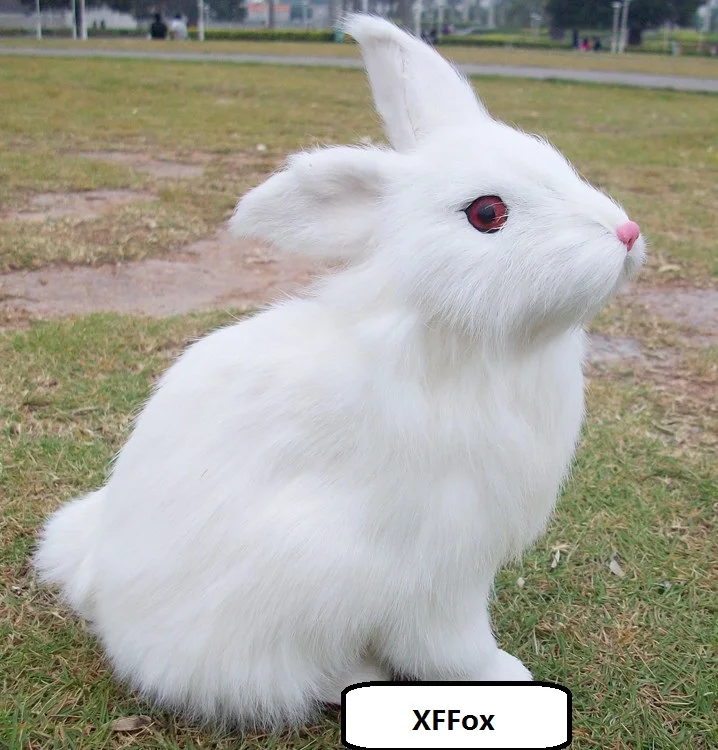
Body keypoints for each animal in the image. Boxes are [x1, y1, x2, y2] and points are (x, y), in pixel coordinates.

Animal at [34, 14, 645, 731]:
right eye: (486, 214)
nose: (627, 234)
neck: (457, 339)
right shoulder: (441, 566)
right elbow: (449, 645)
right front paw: (503, 676)